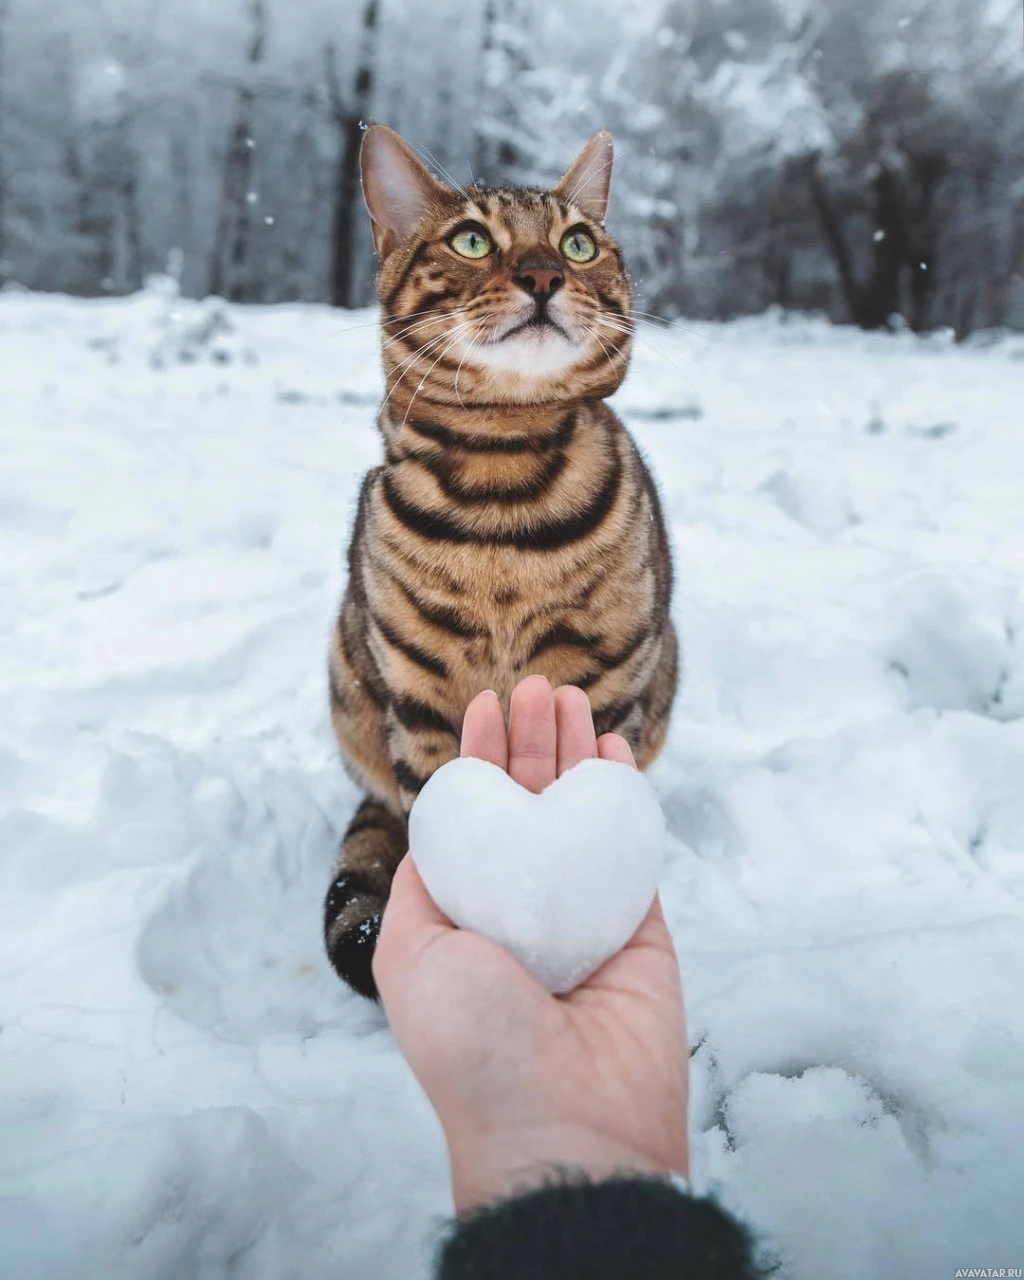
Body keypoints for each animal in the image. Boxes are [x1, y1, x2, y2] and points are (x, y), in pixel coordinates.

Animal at [326, 122, 680, 998]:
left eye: (579, 243)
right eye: (472, 239)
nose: (545, 273)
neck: (502, 483)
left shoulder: (605, 680)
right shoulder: (419, 697)